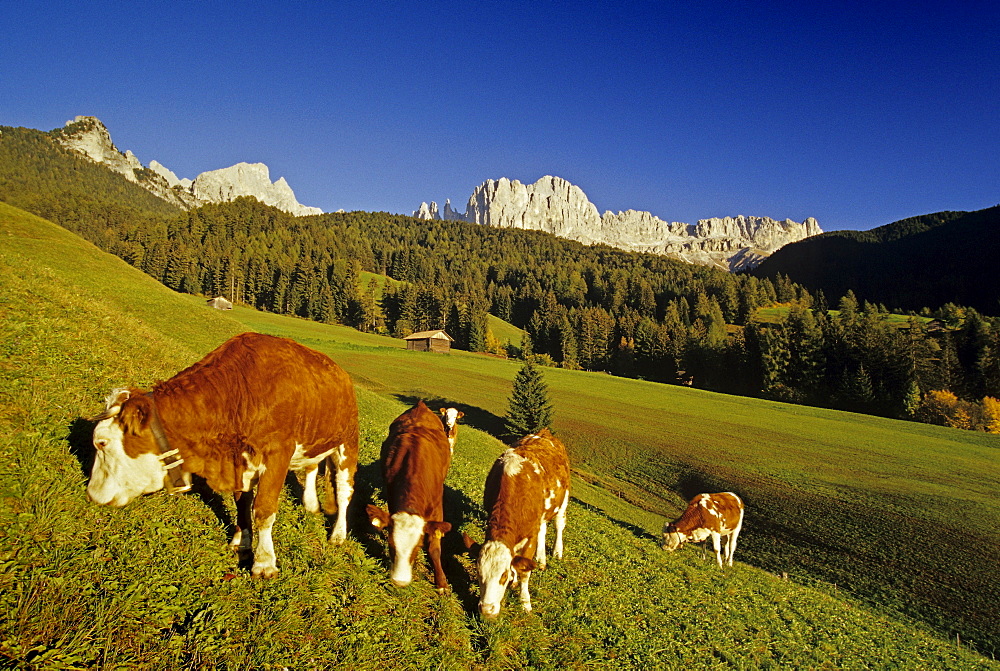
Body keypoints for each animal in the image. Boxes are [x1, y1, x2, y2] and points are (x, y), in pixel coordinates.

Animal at [87, 334, 360, 580]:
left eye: (102, 443)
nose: (92, 495)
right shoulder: (238, 459)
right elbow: (241, 500)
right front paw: (242, 539)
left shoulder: (278, 452)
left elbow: (264, 508)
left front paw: (264, 562)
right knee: (312, 466)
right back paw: (311, 504)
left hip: (348, 444)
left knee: (344, 491)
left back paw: (338, 534)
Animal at [368, 400, 454, 592]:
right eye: (391, 545)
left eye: (418, 546)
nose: (400, 581)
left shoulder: (437, 509)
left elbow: (434, 548)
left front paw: (441, 583)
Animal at [466, 430, 572, 620]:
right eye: (478, 573)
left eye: (503, 575)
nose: (487, 610)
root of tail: (545, 433)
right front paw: (515, 580)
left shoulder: (529, 536)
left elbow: (525, 571)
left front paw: (525, 602)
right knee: (543, 529)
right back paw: (541, 559)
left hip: (564, 498)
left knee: (559, 524)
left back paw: (556, 551)